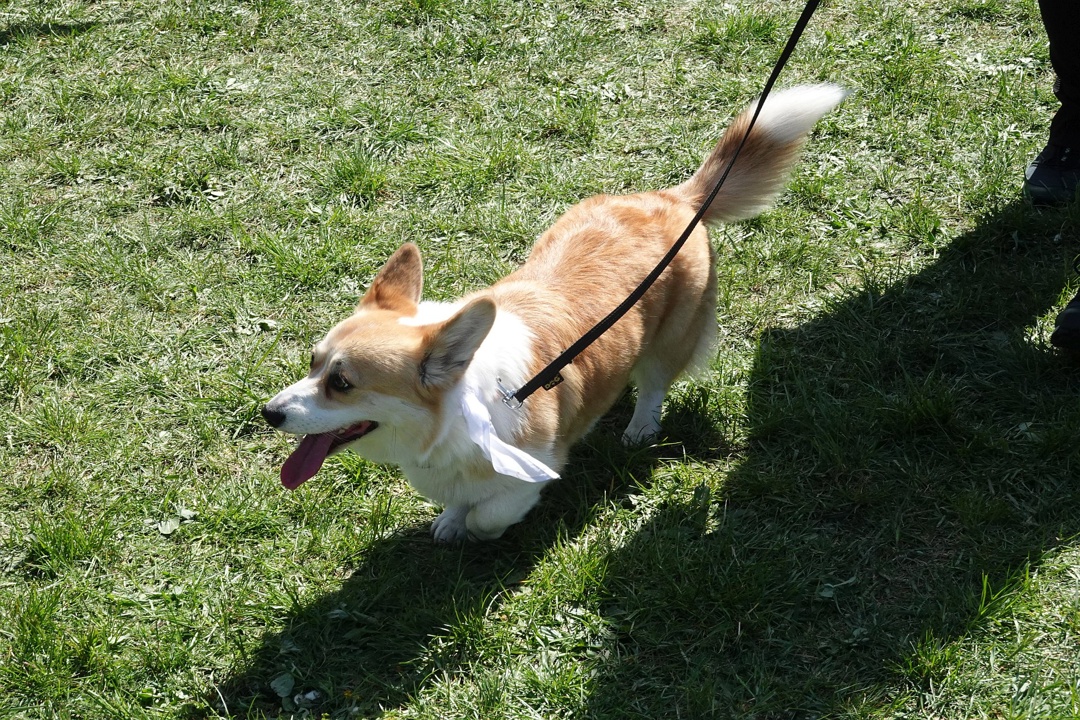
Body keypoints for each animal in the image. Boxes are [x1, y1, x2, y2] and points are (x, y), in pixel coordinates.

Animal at [262, 84, 846, 542]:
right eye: (312, 363)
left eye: (342, 383)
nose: (268, 414)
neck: (460, 411)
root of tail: (676, 199)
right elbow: (459, 503)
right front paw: (449, 521)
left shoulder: (535, 469)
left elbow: (490, 513)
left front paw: (471, 528)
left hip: (671, 338)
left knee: (655, 383)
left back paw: (639, 427)